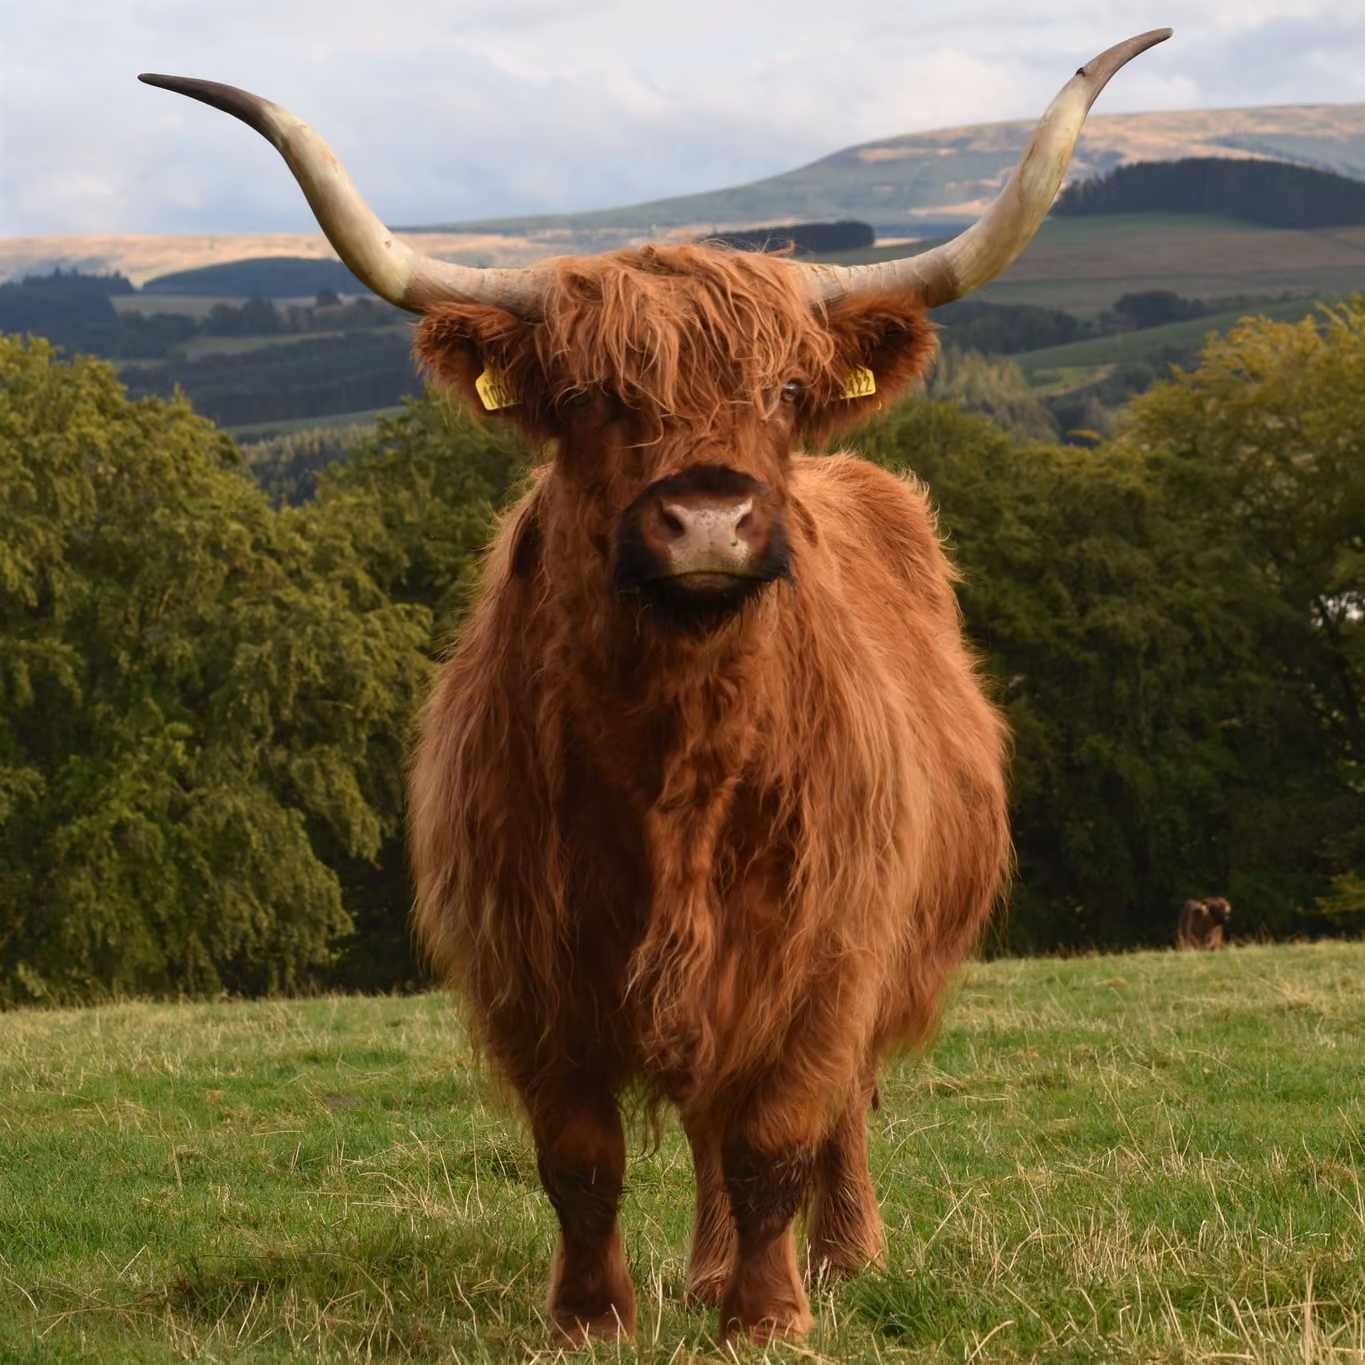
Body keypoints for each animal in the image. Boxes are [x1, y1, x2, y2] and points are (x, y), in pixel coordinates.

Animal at [142, 28, 1169, 1346]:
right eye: (588, 399)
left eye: (785, 393)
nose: (710, 519)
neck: (676, 760)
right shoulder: (529, 964)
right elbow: (583, 1157)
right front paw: (596, 1317)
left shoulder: (822, 953)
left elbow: (780, 1136)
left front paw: (770, 1319)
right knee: (701, 1124)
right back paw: (705, 1267)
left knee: (828, 1116)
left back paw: (841, 1257)